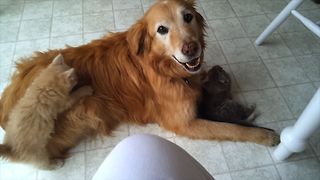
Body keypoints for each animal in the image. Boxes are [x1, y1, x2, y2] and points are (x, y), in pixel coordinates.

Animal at [0, 0, 278, 160]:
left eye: (187, 17)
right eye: (162, 29)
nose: (191, 48)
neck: (164, 69)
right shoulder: (184, 123)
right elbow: (232, 128)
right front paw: (265, 135)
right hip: (81, 114)